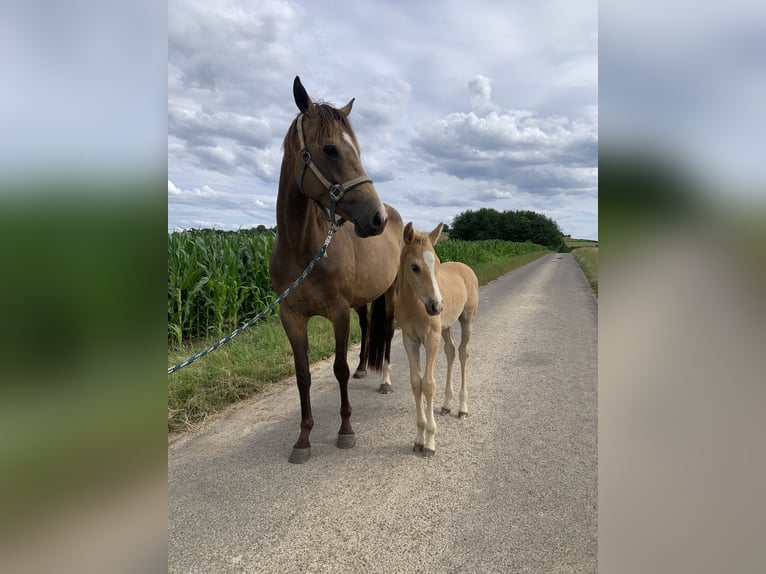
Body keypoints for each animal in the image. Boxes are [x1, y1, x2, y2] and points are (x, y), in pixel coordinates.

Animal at [270, 76, 402, 466]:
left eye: (356, 148)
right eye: (329, 149)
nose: (376, 219)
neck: (305, 249)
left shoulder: (338, 313)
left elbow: (338, 369)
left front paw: (346, 430)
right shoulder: (291, 316)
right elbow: (302, 375)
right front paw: (303, 438)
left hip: (391, 292)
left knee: (388, 331)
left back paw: (384, 381)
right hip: (363, 298)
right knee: (369, 324)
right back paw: (363, 368)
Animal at [396, 223, 480, 456]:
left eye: (437, 263)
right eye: (415, 267)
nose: (437, 306)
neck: (414, 305)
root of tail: (466, 267)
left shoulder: (430, 338)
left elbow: (428, 384)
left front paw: (430, 442)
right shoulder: (410, 340)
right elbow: (416, 383)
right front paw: (418, 438)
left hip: (467, 318)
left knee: (463, 352)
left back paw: (462, 408)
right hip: (446, 326)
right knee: (450, 350)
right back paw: (446, 405)